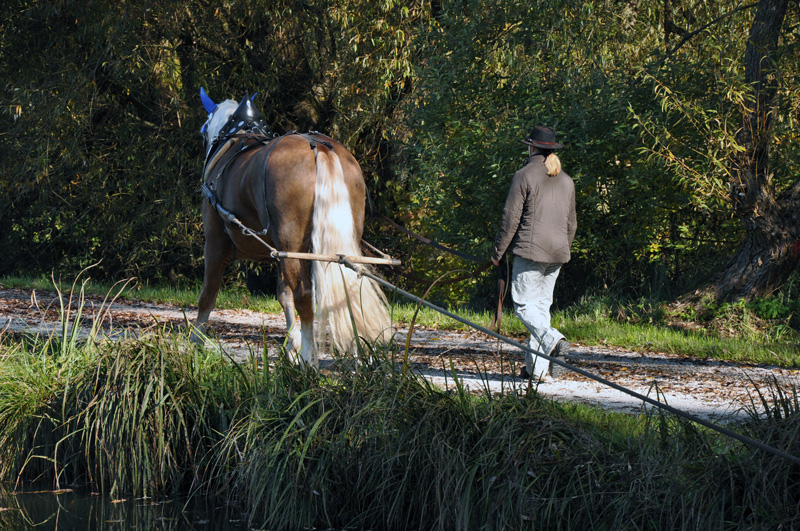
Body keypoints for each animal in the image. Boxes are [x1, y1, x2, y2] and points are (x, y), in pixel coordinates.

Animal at [195, 89, 392, 368]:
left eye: (203, 129)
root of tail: (318, 146)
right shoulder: (279, 252)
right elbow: (283, 295)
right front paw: (291, 346)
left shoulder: (215, 243)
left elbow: (208, 294)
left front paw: (195, 344)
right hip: (331, 244)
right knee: (349, 289)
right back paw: (359, 357)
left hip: (291, 243)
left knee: (305, 295)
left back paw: (310, 360)